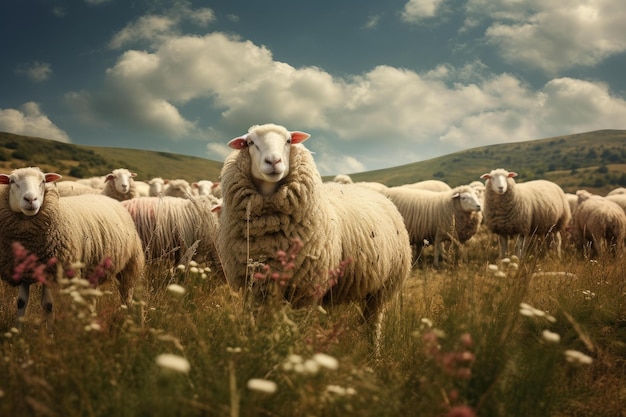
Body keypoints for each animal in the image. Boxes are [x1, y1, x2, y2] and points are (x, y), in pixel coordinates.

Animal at [0, 166, 144, 324]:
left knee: (126, 294)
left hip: (130, 264)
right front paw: (17, 328)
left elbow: (48, 305)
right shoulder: (22, 271)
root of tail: (112, 200)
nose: (31, 199)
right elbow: (20, 303)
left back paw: (130, 319)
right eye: (12, 182)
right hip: (92, 269)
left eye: (43, 181)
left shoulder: (53, 270)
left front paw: (49, 330)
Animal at [217, 122, 412, 350]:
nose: (273, 161)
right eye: (250, 143)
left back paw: (374, 353)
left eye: (288, 140)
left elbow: (297, 328)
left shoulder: (306, 290)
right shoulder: (256, 288)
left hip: (383, 287)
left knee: (374, 324)